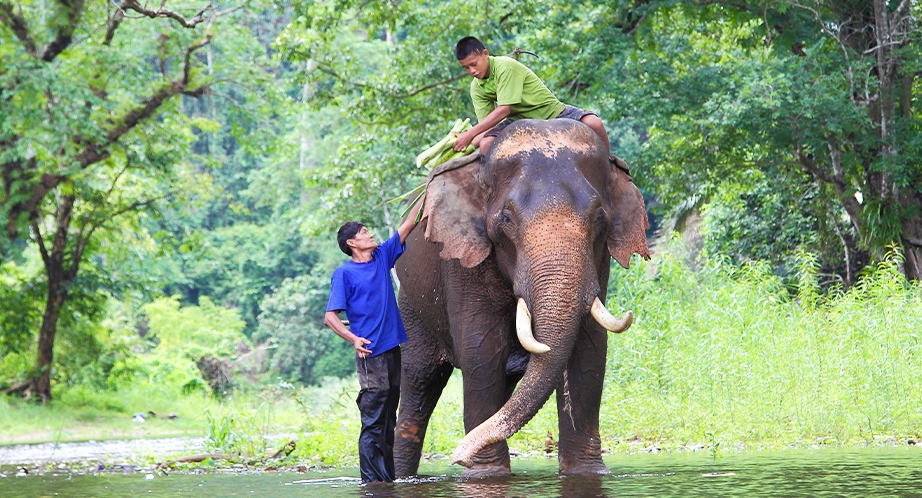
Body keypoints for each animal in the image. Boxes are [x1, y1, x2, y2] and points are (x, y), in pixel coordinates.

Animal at [392, 117, 652, 478]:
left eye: (599, 218)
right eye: (507, 220)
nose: (457, 456)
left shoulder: (599, 262)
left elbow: (591, 348)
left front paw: (586, 473)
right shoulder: (464, 257)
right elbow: (481, 348)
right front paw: (485, 475)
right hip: (410, 305)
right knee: (420, 382)